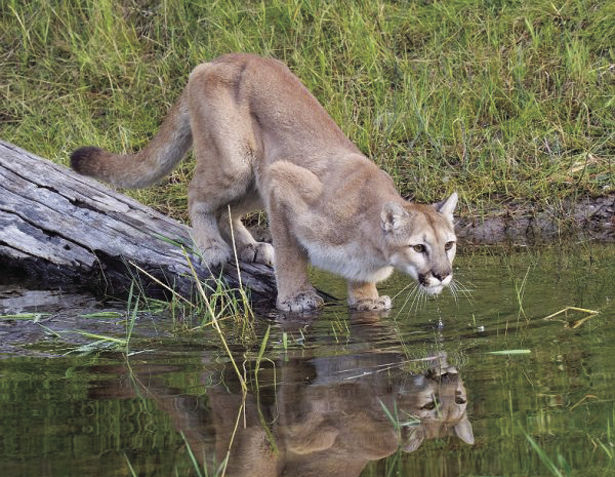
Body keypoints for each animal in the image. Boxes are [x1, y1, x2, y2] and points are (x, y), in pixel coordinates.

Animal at [72, 53, 458, 312]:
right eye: (419, 247)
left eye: (449, 245)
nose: (442, 274)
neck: (373, 246)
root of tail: (220, 58)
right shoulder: (284, 182)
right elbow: (291, 253)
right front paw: (297, 298)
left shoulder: (275, 180)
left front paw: (367, 301)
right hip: (236, 164)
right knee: (196, 194)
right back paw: (212, 248)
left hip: (256, 176)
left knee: (227, 209)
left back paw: (250, 248)